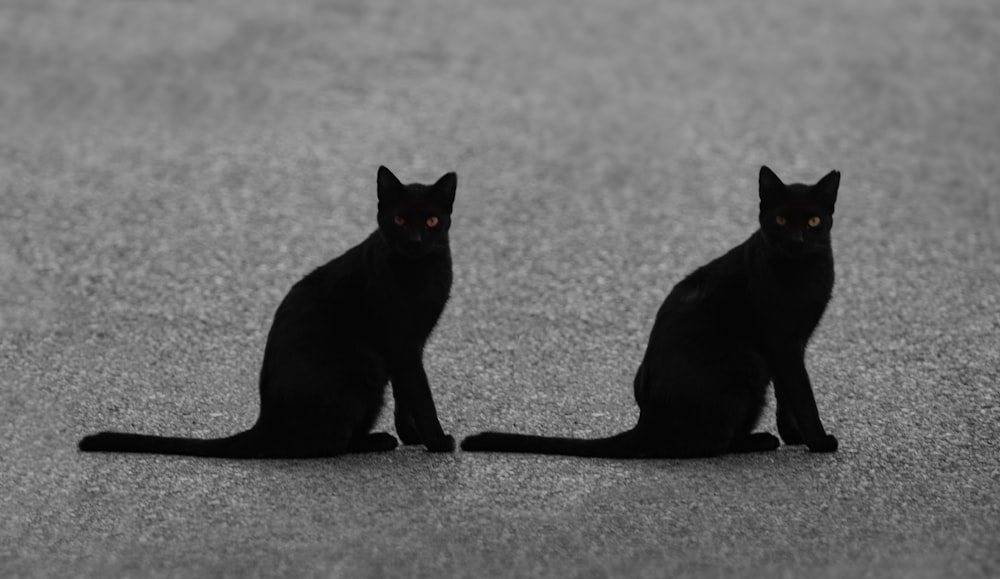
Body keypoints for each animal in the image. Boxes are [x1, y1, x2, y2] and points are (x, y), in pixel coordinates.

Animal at [82, 164, 458, 458]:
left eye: (431, 220)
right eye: (399, 219)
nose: (415, 241)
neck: (422, 271)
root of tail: (266, 422)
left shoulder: (411, 344)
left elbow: (405, 396)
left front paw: (414, 436)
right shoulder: (400, 344)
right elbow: (420, 394)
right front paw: (438, 442)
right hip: (366, 361)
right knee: (326, 444)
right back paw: (376, 441)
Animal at [464, 167, 840, 458]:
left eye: (813, 220)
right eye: (781, 219)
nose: (797, 240)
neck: (804, 271)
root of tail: (646, 423)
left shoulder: (794, 343)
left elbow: (787, 396)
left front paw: (796, 436)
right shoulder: (782, 343)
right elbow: (802, 394)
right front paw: (819, 442)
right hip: (749, 362)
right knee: (710, 444)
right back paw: (758, 441)